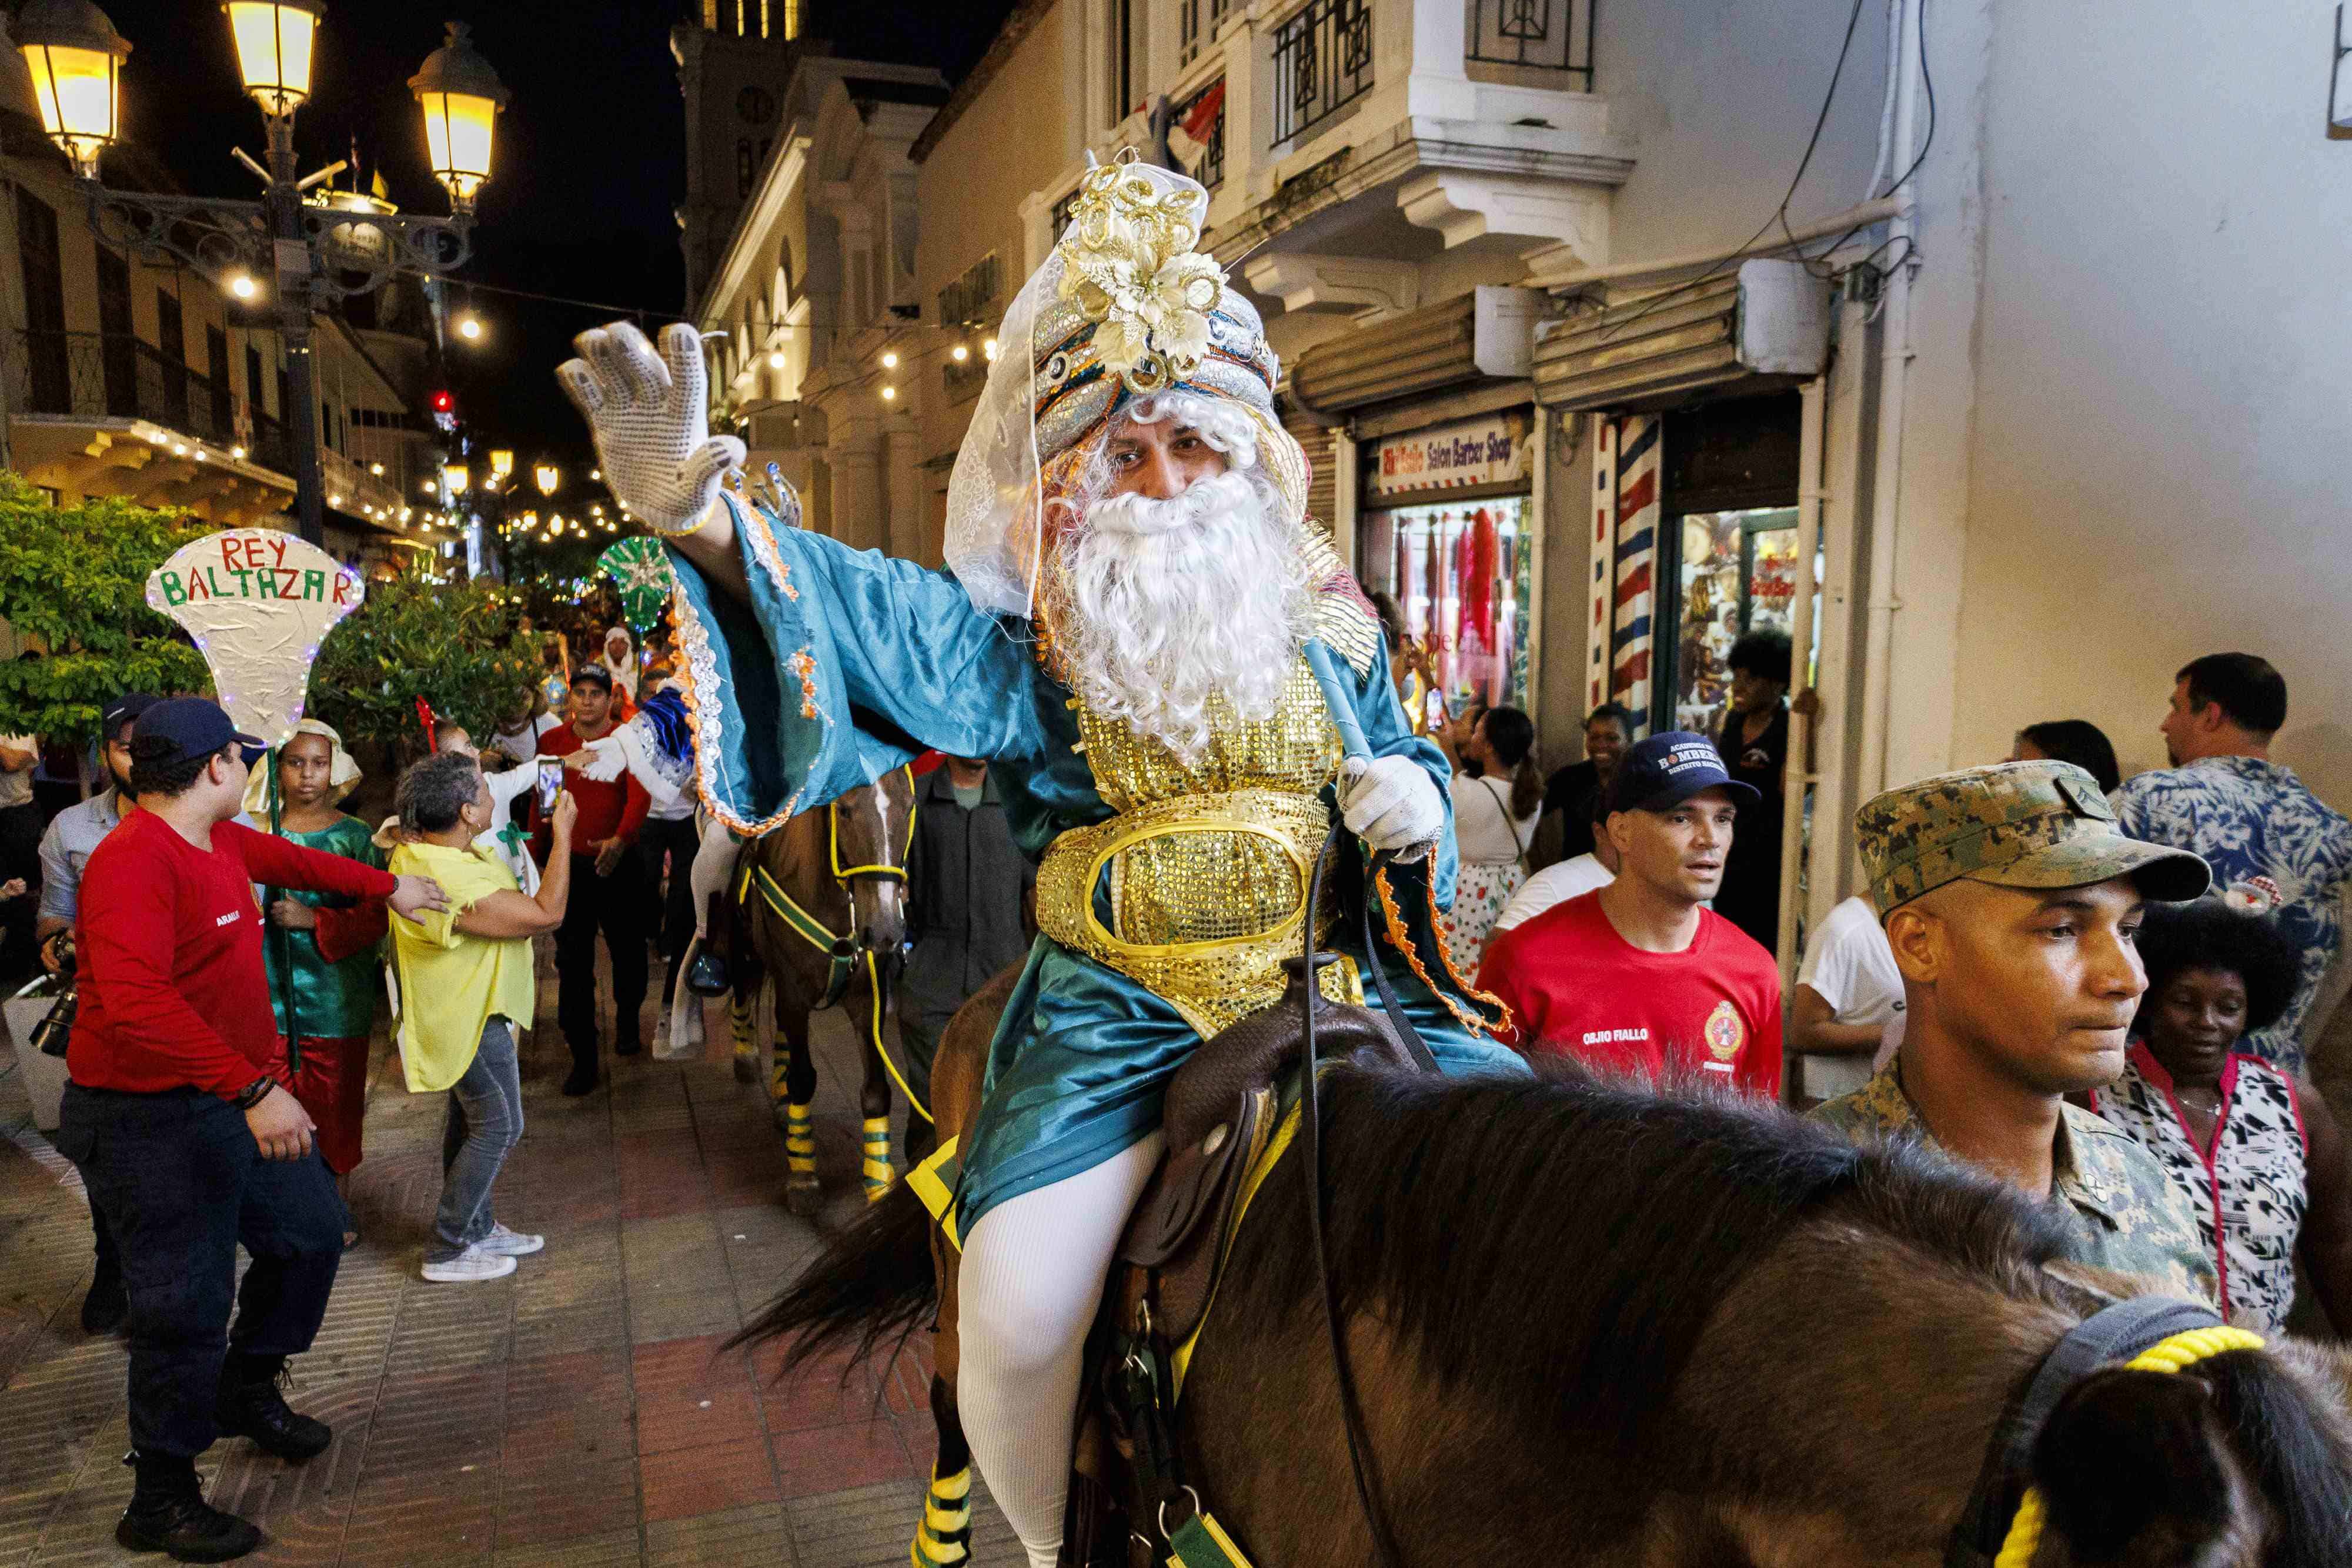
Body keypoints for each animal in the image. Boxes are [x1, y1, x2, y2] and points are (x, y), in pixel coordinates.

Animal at [729, 771, 922, 1213]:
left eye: (908, 807)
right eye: (845, 810)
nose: (885, 929)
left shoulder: (868, 998)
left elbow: (876, 1091)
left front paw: (879, 1182)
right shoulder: (792, 988)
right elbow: (803, 1078)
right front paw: (803, 1176)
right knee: (744, 986)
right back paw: (747, 1054)